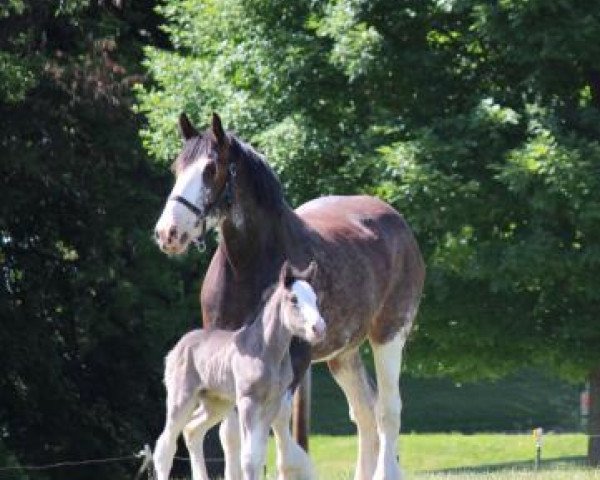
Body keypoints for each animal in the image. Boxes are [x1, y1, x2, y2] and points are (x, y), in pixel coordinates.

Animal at [155, 113, 426, 480]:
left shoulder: (294, 358)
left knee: (387, 410)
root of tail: (398, 223)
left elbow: (281, 438)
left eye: (211, 168)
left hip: (389, 334)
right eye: (176, 167)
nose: (168, 233)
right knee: (364, 414)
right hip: (344, 354)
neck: (248, 265)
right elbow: (231, 436)